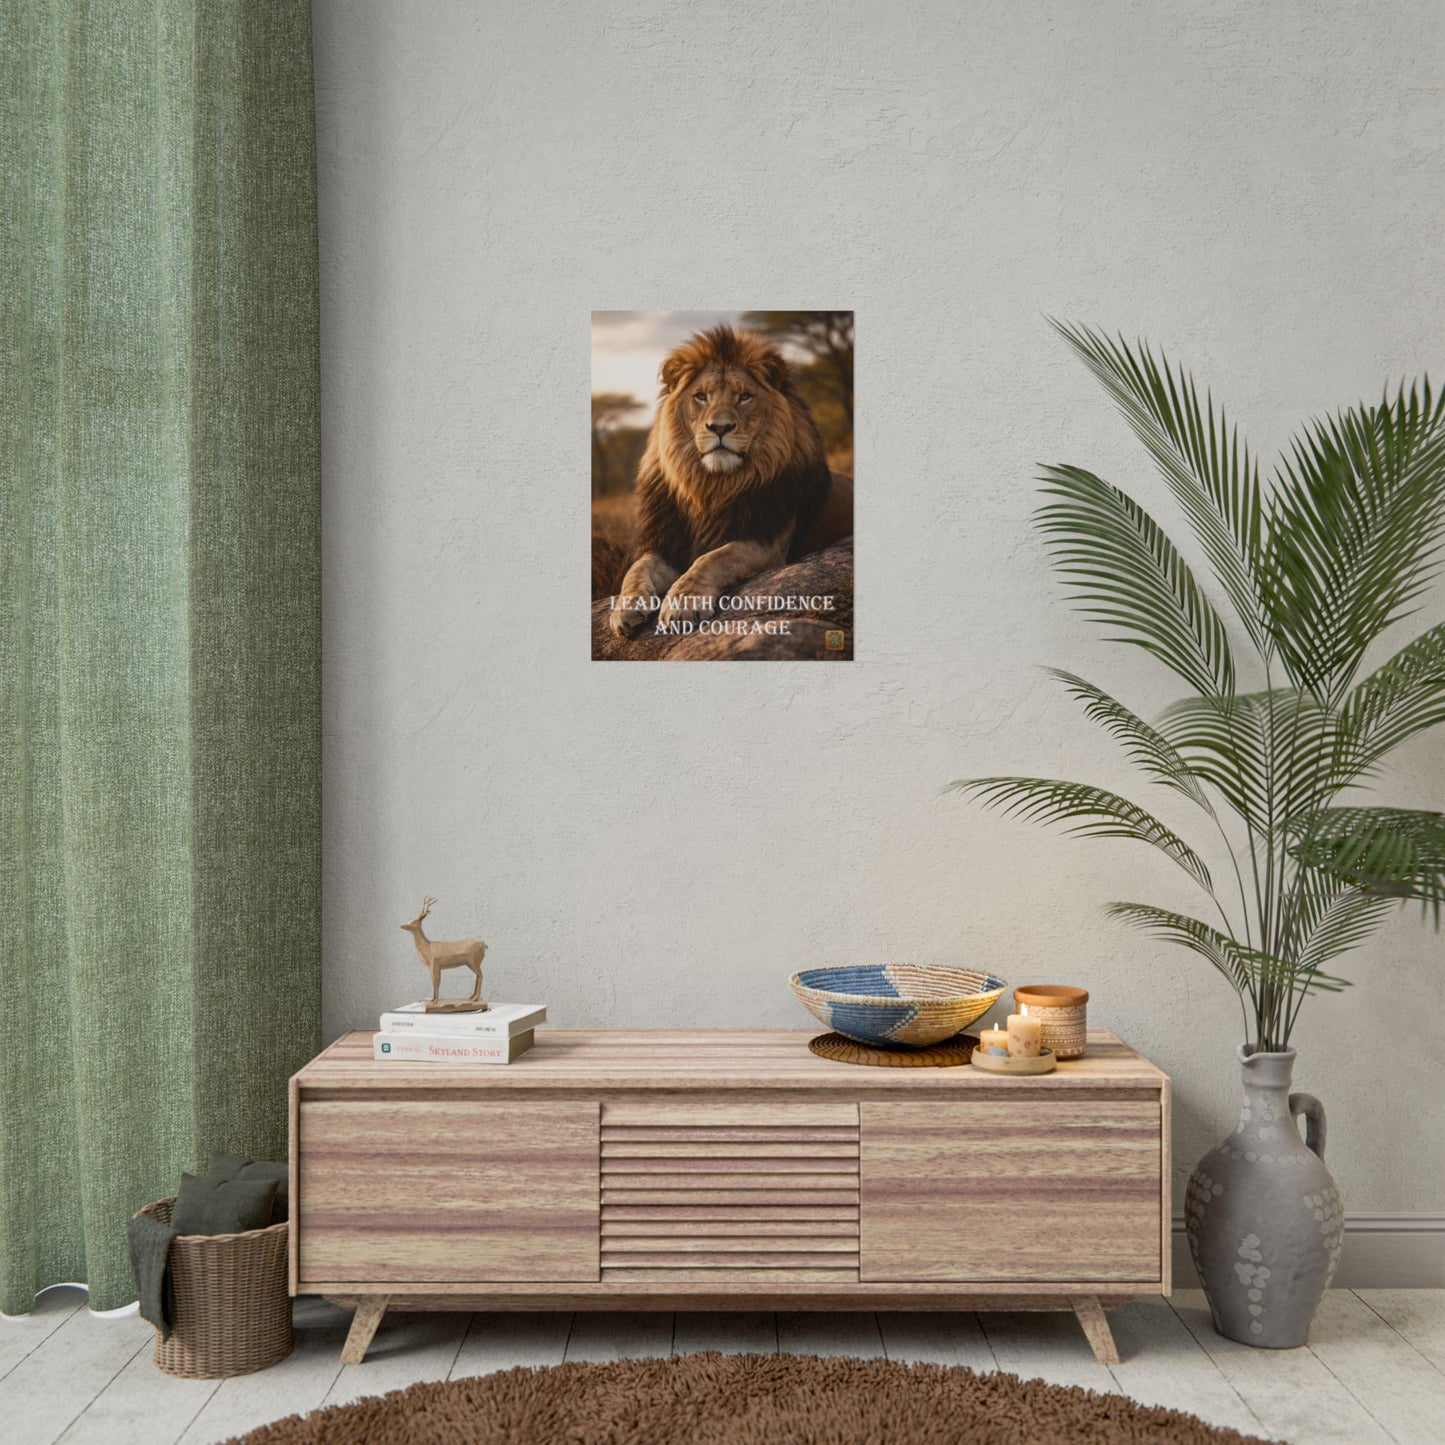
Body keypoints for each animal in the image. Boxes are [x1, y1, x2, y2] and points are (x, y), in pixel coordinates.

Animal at [608, 325, 853, 639]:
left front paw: (682, 604)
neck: (712, 487)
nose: (720, 427)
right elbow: (637, 569)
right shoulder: (668, 544)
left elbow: (713, 558)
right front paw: (625, 608)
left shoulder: (766, 541)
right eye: (701, 396)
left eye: (744, 396)